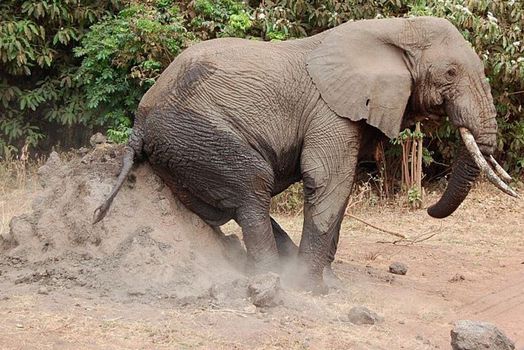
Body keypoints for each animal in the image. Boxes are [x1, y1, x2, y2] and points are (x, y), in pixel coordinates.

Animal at [94, 17, 516, 294]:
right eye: (450, 73)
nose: (428, 208)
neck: (392, 30)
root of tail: (139, 122)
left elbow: (341, 191)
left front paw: (328, 281)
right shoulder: (330, 111)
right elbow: (329, 181)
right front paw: (313, 290)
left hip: (180, 148)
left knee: (223, 207)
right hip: (192, 133)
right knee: (253, 188)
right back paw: (270, 280)